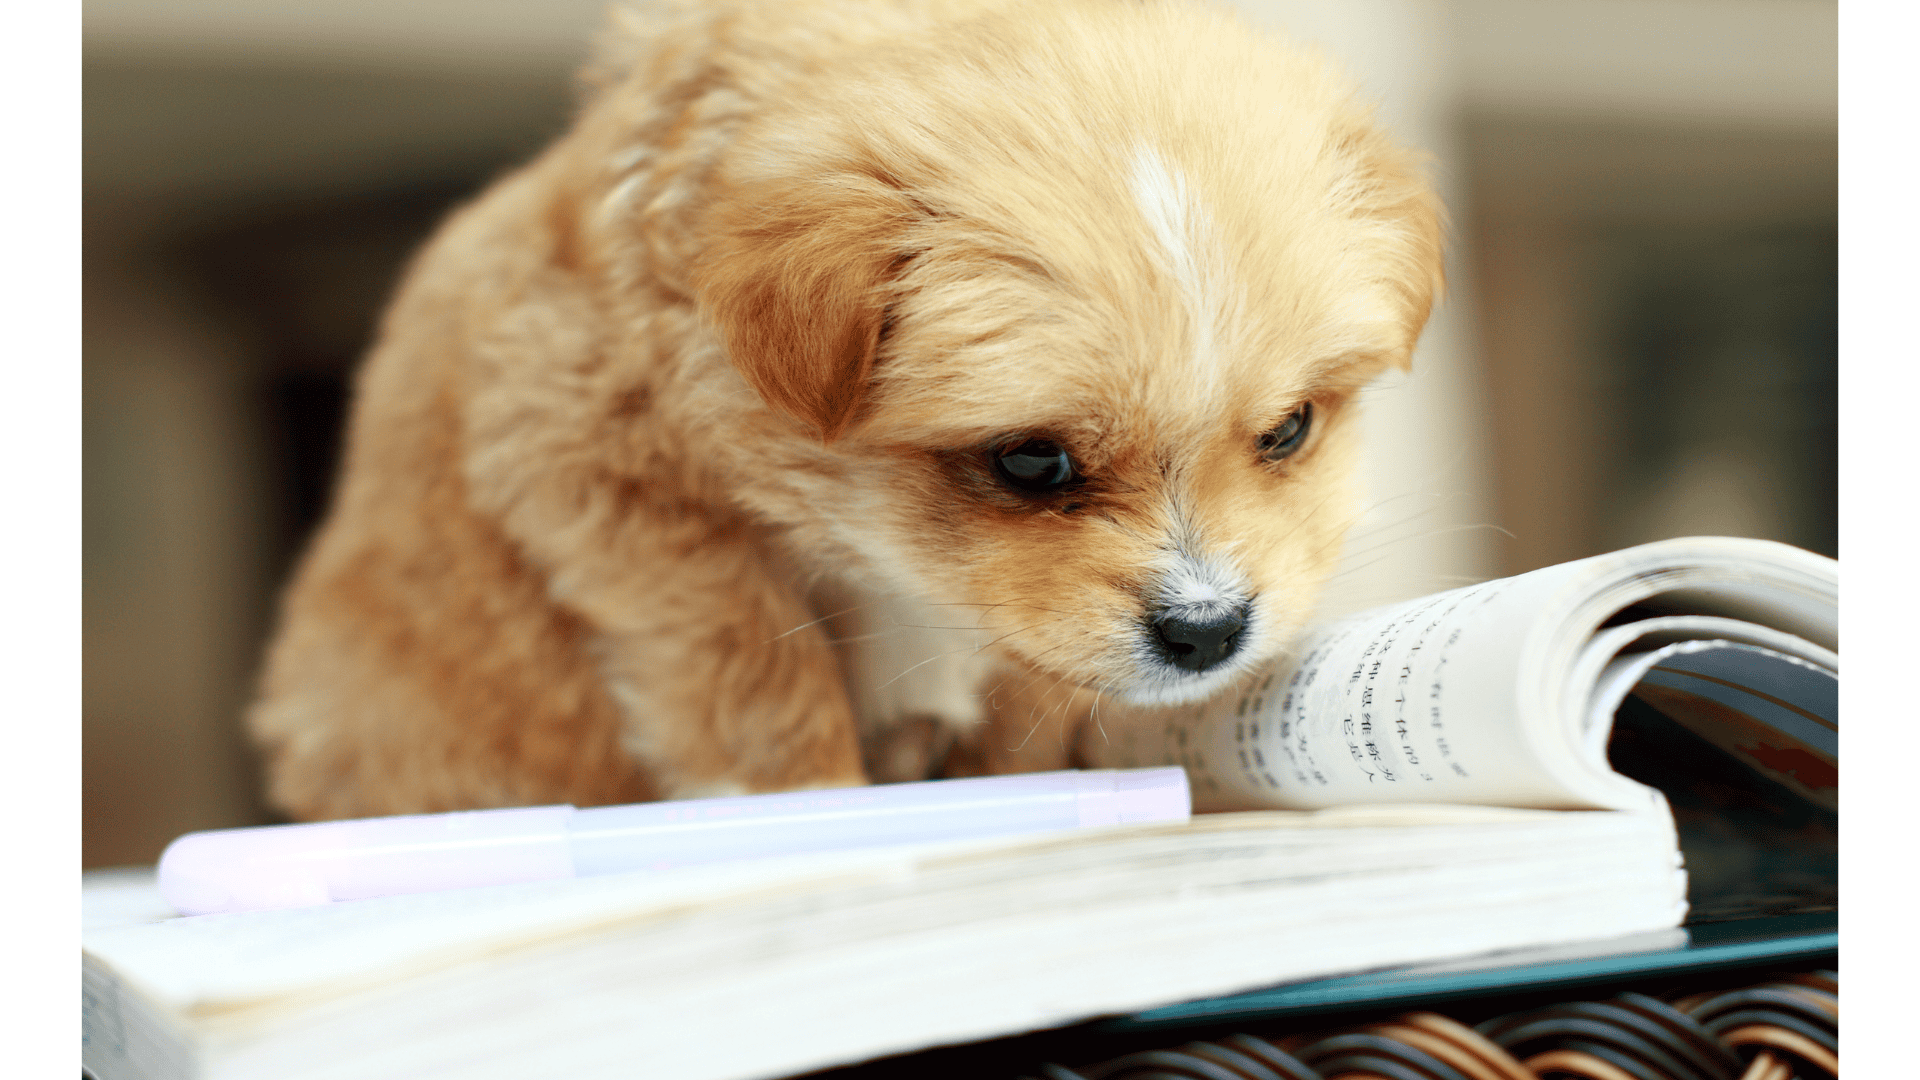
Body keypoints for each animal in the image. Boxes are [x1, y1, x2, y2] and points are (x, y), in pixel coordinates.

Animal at [243, 0, 1443, 814]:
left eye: (1289, 430)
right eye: (1032, 462)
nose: (1208, 632)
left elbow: (1027, 696)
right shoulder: (600, 478)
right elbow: (752, 667)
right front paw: (811, 804)